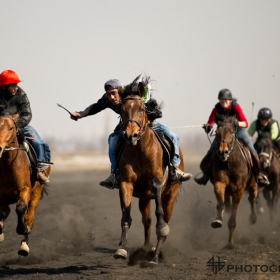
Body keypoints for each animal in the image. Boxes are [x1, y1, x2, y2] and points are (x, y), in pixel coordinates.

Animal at [0, 114, 50, 256]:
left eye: (11, 127)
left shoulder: (25, 190)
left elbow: (21, 208)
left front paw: (23, 229)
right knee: (6, 211)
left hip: (37, 192)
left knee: (30, 217)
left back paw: (24, 246)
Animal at [112, 76, 185, 264]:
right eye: (122, 109)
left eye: (142, 108)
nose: (131, 135)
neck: (139, 150)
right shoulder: (126, 182)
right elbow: (126, 217)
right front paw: (122, 249)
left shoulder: (157, 181)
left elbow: (160, 217)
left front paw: (161, 232)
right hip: (144, 198)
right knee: (147, 220)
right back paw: (148, 248)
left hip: (170, 195)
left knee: (165, 217)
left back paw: (155, 255)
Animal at [201, 115, 258, 248]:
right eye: (217, 133)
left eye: (232, 132)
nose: (223, 152)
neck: (230, 163)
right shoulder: (220, 183)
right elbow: (221, 204)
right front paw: (217, 220)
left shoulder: (239, 190)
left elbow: (233, 217)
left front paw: (230, 243)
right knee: (228, 204)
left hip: (253, 184)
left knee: (252, 198)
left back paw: (253, 218)